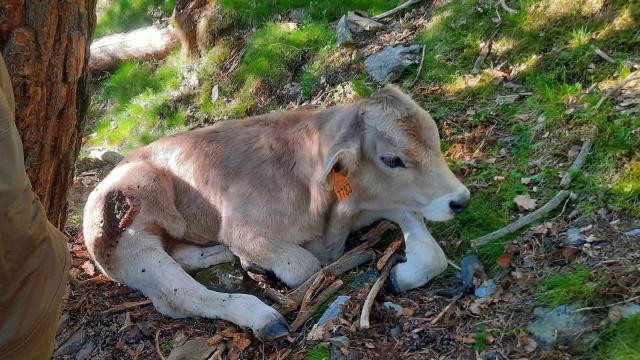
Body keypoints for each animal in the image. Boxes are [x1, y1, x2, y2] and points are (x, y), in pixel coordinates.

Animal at [82, 86, 468, 338]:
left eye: (434, 139)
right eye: (391, 159)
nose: (461, 199)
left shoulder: (374, 200)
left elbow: (428, 244)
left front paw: (405, 273)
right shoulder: (244, 229)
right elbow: (304, 267)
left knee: (181, 259)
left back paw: (221, 255)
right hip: (135, 220)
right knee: (177, 293)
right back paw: (262, 316)